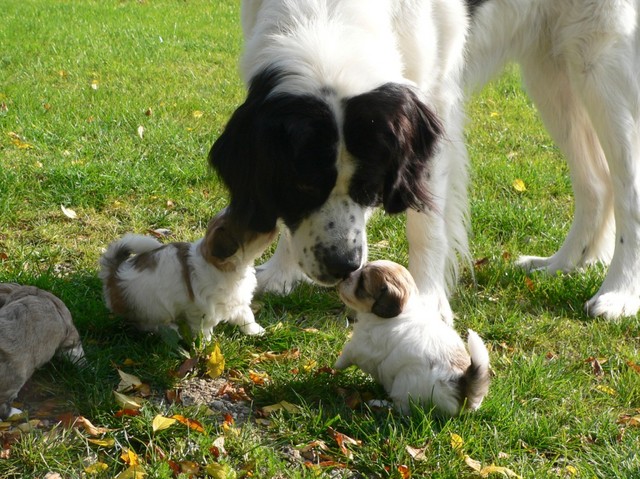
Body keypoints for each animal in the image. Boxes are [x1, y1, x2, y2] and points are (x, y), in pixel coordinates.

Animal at [99, 210, 276, 339]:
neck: (228, 267)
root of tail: (114, 273)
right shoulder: (202, 311)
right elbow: (203, 330)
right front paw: (206, 346)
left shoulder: (237, 300)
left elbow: (246, 316)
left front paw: (256, 331)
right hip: (151, 307)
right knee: (147, 324)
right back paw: (171, 329)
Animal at [209, 0, 470, 325]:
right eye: (301, 185)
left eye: (370, 184)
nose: (343, 265)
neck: (327, 16)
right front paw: (281, 272)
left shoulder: (435, 97)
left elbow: (426, 223)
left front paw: (426, 301)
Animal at [334, 260, 491, 416]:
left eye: (362, 282)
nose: (345, 274)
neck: (405, 307)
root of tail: (461, 385)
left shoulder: (362, 346)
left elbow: (346, 354)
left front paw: (335, 366)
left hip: (404, 383)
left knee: (402, 408)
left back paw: (378, 404)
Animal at [464, 0, 640, 319]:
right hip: (553, 68)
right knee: (596, 185)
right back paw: (558, 265)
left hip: (602, 63)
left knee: (629, 194)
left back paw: (620, 293)